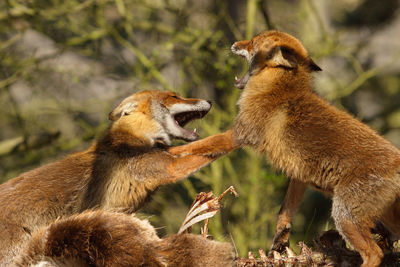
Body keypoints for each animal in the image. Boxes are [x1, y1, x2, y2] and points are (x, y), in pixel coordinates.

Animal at [0, 90, 238, 266]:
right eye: (174, 97)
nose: (209, 101)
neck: (135, 138)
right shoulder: (166, 166)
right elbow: (216, 142)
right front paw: (237, 134)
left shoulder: (165, 156)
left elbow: (203, 146)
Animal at [230, 30, 400, 266]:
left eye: (253, 41)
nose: (234, 44)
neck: (279, 88)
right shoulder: (298, 171)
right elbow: (285, 212)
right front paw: (279, 242)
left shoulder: (245, 132)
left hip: (344, 215)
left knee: (374, 253)